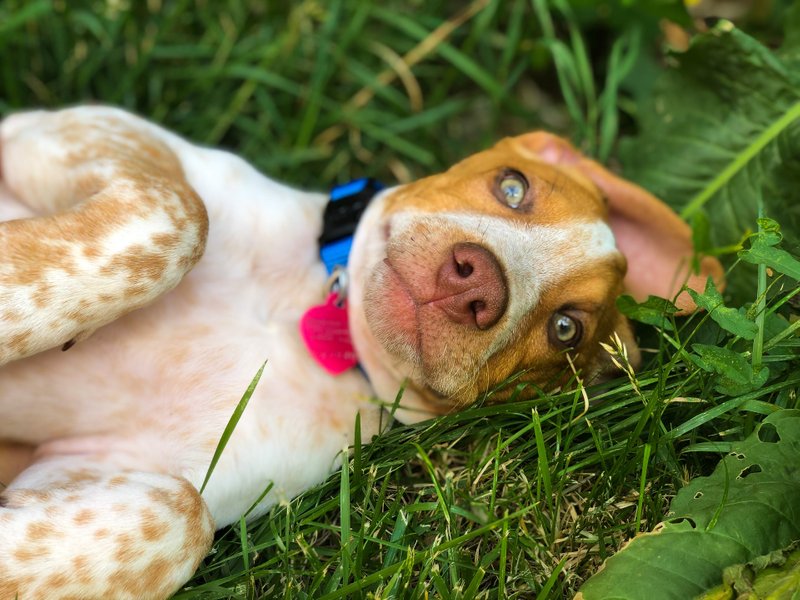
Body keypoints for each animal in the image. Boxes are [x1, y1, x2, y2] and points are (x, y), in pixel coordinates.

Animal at [0, 105, 724, 596]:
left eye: (566, 329)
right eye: (513, 187)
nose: (476, 285)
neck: (317, 314)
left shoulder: (119, 472)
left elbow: (180, 518)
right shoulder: (71, 130)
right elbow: (178, 216)